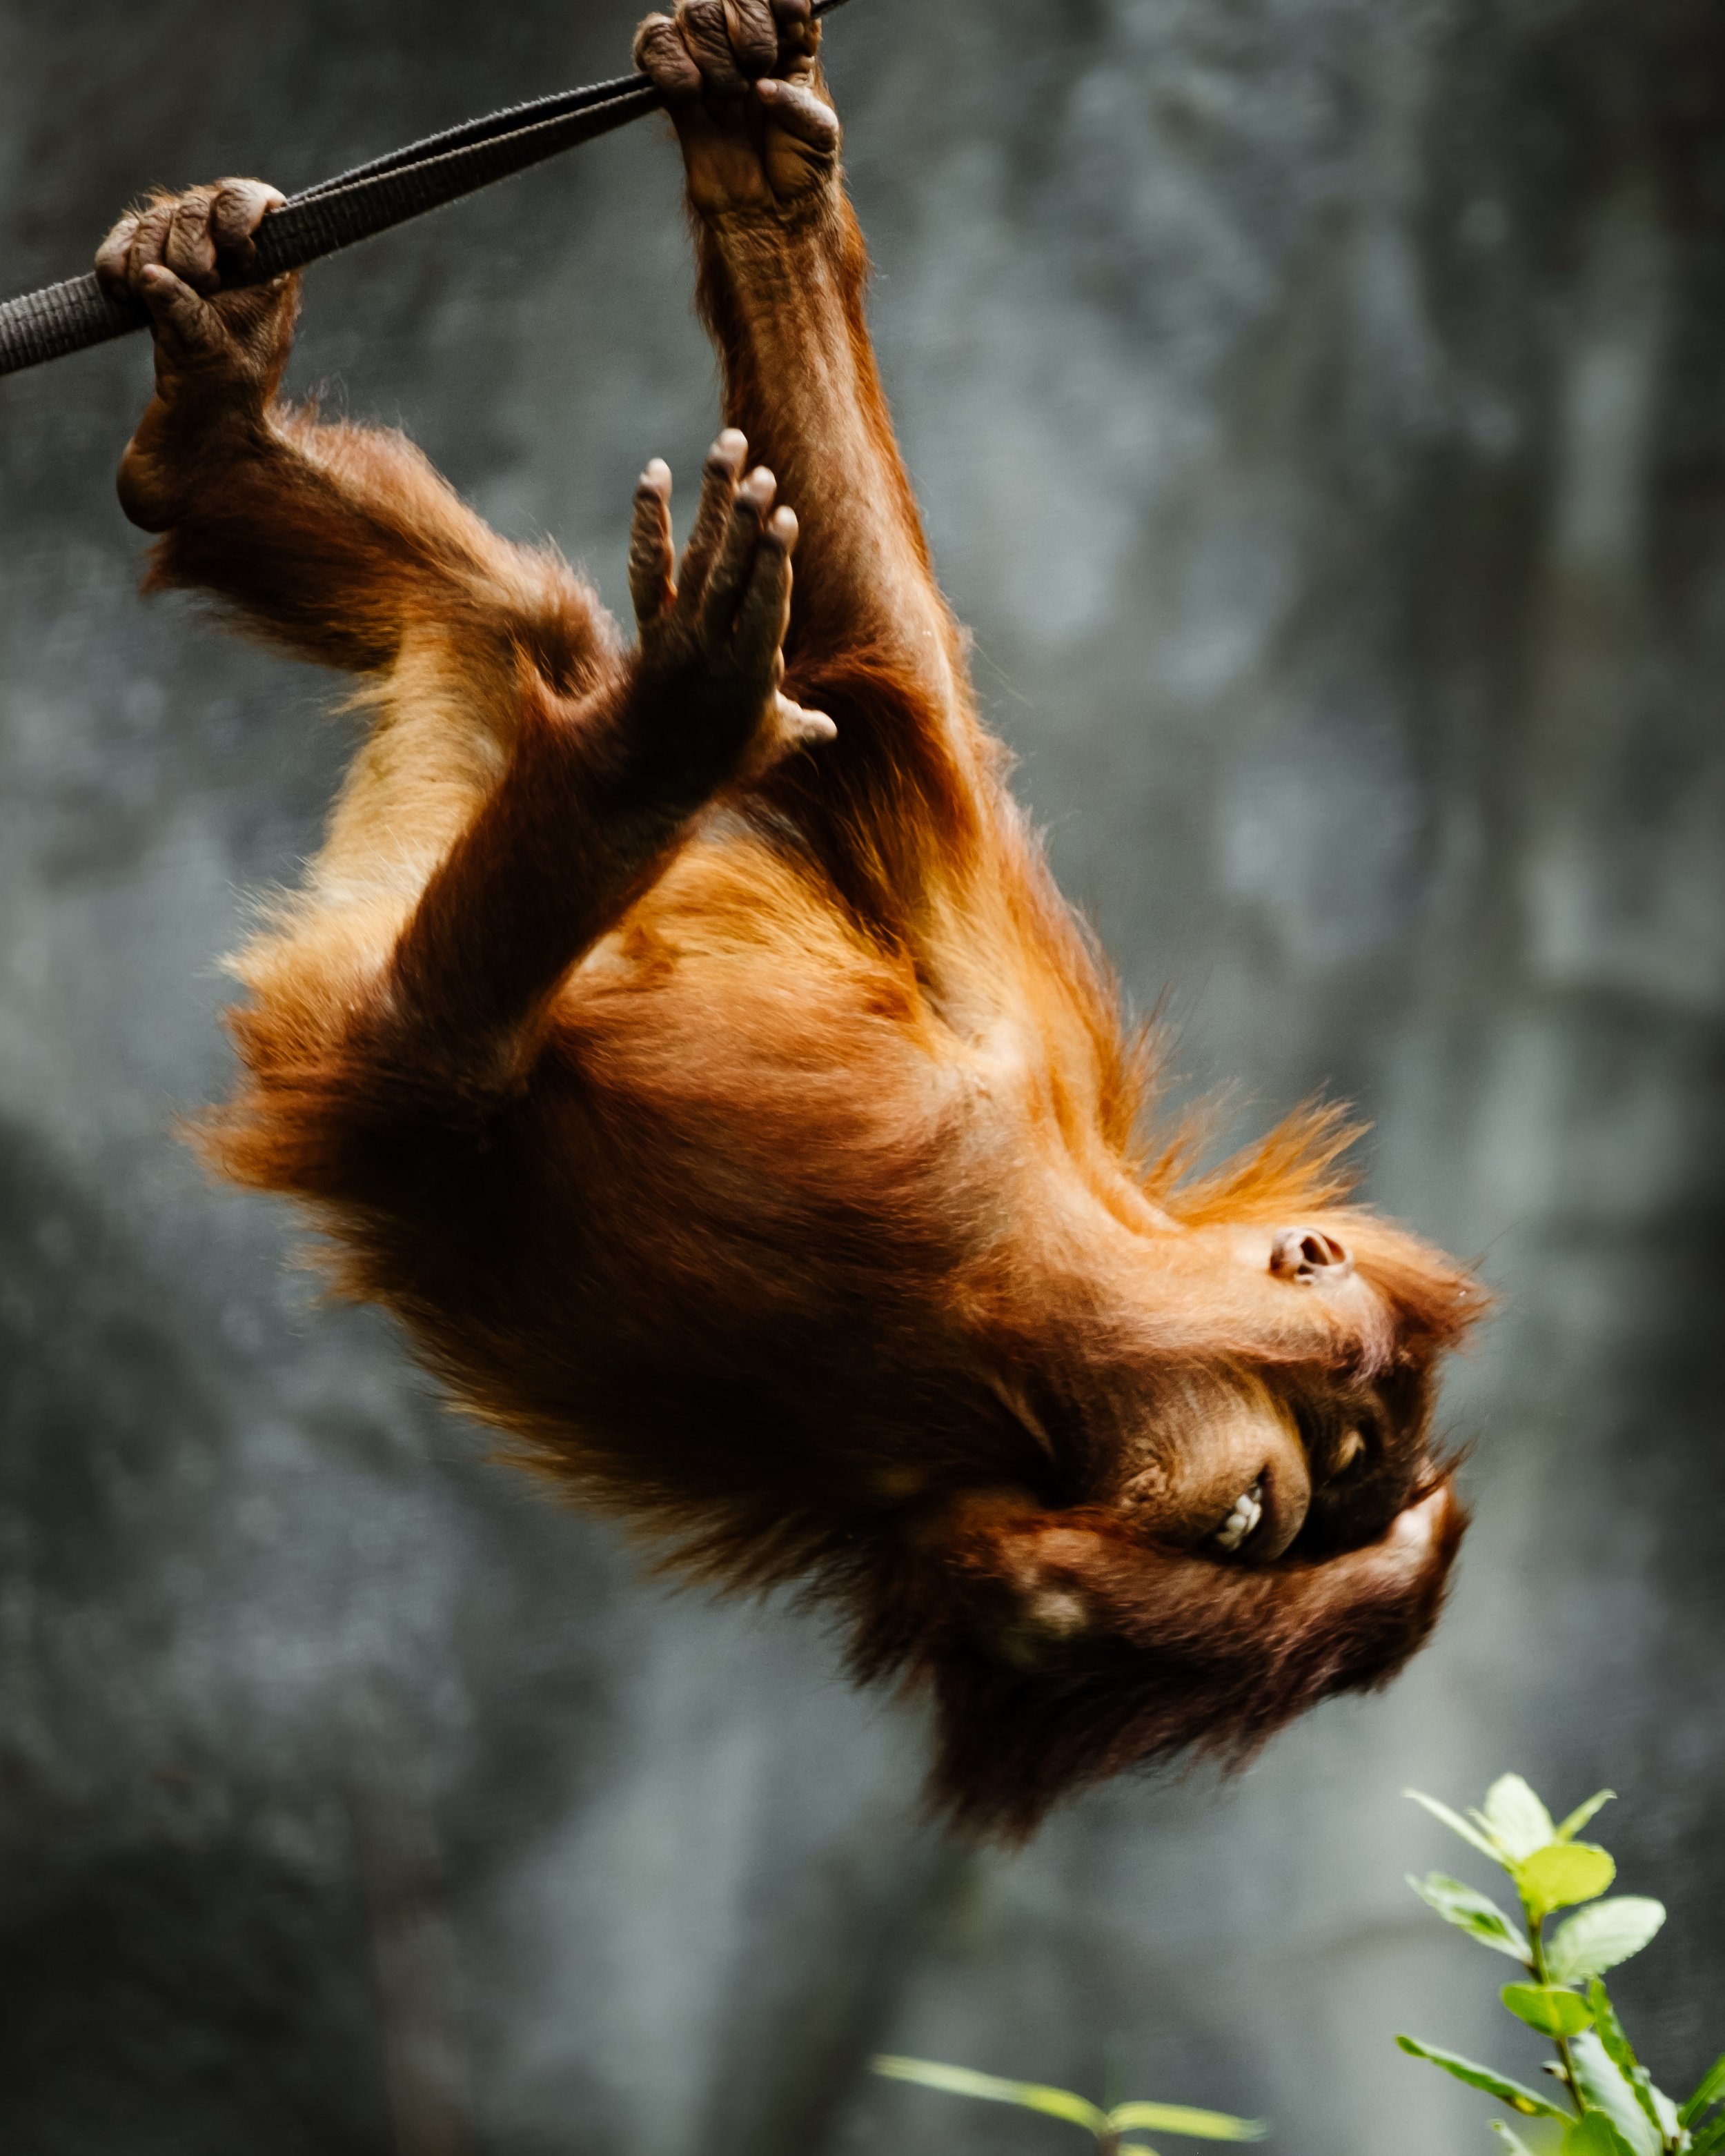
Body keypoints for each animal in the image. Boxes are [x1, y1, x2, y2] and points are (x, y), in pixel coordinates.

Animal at [96, 0, 1483, 1838]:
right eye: (1283, 1480)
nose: (1290, 1509)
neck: (1080, 1268)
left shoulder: (1011, 1510)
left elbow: (1027, 1604)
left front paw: (1405, 1549)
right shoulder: (1005, 999)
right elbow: (893, 674)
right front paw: (761, 158)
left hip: (414, 880)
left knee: (495, 646)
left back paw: (255, 469)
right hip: (392, 1021)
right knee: (455, 1020)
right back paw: (648, 725)